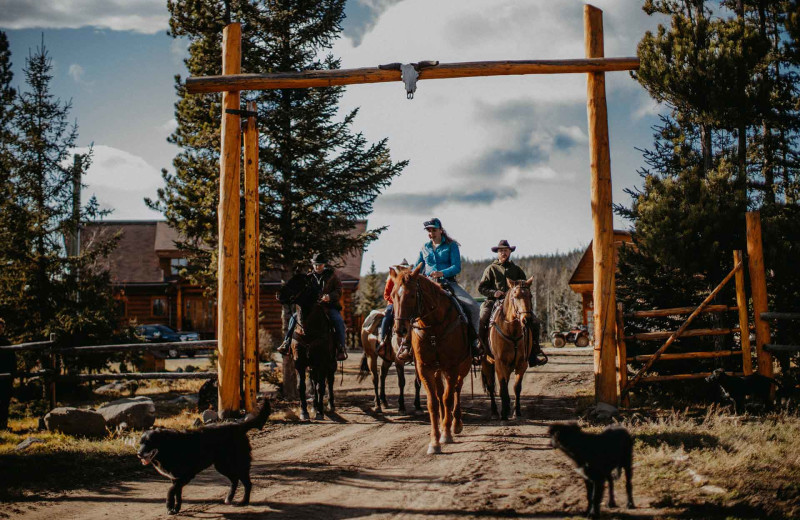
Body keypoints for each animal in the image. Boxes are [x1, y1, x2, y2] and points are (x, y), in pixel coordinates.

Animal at [138, 400, 272, 512]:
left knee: (247, 483)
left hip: (238, 464)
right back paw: (229, 498)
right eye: (140, 443)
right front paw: (176, 509)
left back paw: (244, 501)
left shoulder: (185, 476)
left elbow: (171, 491)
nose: (138, 454)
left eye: (149, 442)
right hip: (222, 465)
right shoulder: (176, 478)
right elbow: (177, 494)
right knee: (235, 479)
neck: (168, 447)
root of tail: (239, 427)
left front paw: (169, 505)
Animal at [396, 264, 476, 456]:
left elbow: (448, 398)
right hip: (438, 370)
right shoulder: (424, 368)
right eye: (395, 295)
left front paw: (446, 434)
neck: (433, 327)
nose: (400, 329)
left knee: (456, 390)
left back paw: (456, 423)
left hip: (462, 366)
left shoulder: (452, 367)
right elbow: (433, 402)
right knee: (441, 393)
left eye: (411, 295)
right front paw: (434, 441)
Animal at [478, 278, 536, 420]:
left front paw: (517, 411)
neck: (512, 331)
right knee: (491, 386)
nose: (527, 320)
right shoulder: (500, 363)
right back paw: (494, 411)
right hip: (486, 363)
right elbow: (503, 386)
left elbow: (516, 387)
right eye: (515, 296)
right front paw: (503, 413)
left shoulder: (521, 363)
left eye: (530, 296)